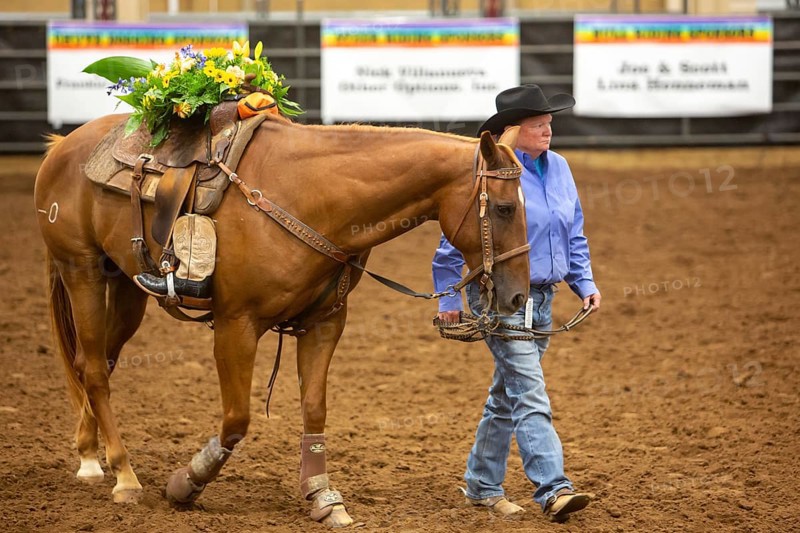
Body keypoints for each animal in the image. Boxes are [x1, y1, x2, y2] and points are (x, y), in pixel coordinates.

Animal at [34, 112, 530, 527]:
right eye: (505, 208)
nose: (518, 294)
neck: (313, 195)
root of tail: (63, 145)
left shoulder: (325, 324)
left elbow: (314, 408)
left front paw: (323, 496)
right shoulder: (235, 325)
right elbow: (237, 419)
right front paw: (185, 483)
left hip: (125, 287)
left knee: (96, 361)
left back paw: (89, 457)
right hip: (81, 271)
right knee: (94, 369)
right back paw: (124, 476)